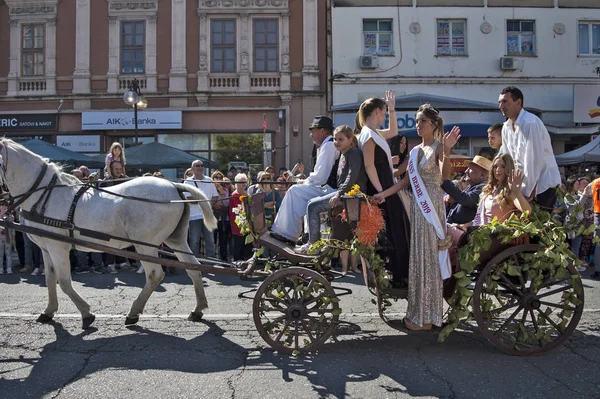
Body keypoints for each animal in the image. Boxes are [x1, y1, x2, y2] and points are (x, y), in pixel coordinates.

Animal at [0, 139, 218, 330]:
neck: (45, 194)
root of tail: (175, 186)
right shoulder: (47, 248)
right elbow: (50, 280)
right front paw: (49, 311)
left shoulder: (58, 247)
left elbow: (64, 282)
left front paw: (86, 313)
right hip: (176, 239)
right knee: (193, 268)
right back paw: (198, 309)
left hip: (144, 244)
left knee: (155, 274)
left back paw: (133, 312)